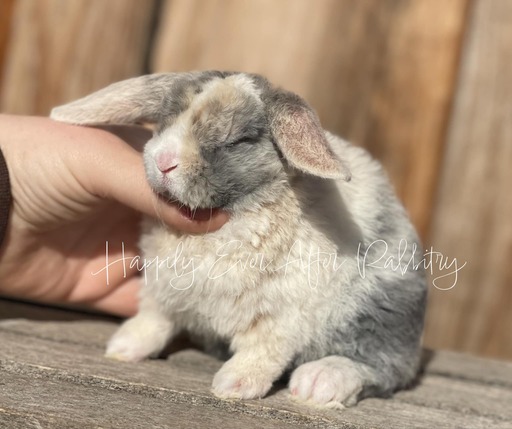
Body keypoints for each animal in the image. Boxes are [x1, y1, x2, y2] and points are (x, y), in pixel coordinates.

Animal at [51, 71, 428, 408]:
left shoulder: (281, 316)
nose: (164, 161)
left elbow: (262, 351)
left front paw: (233, 385)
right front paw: (123, 347)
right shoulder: (163, 293)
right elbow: (153, 321)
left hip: (380, 312)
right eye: (163, 123)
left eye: (236, 141)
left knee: (383, 367)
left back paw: (319, 384)